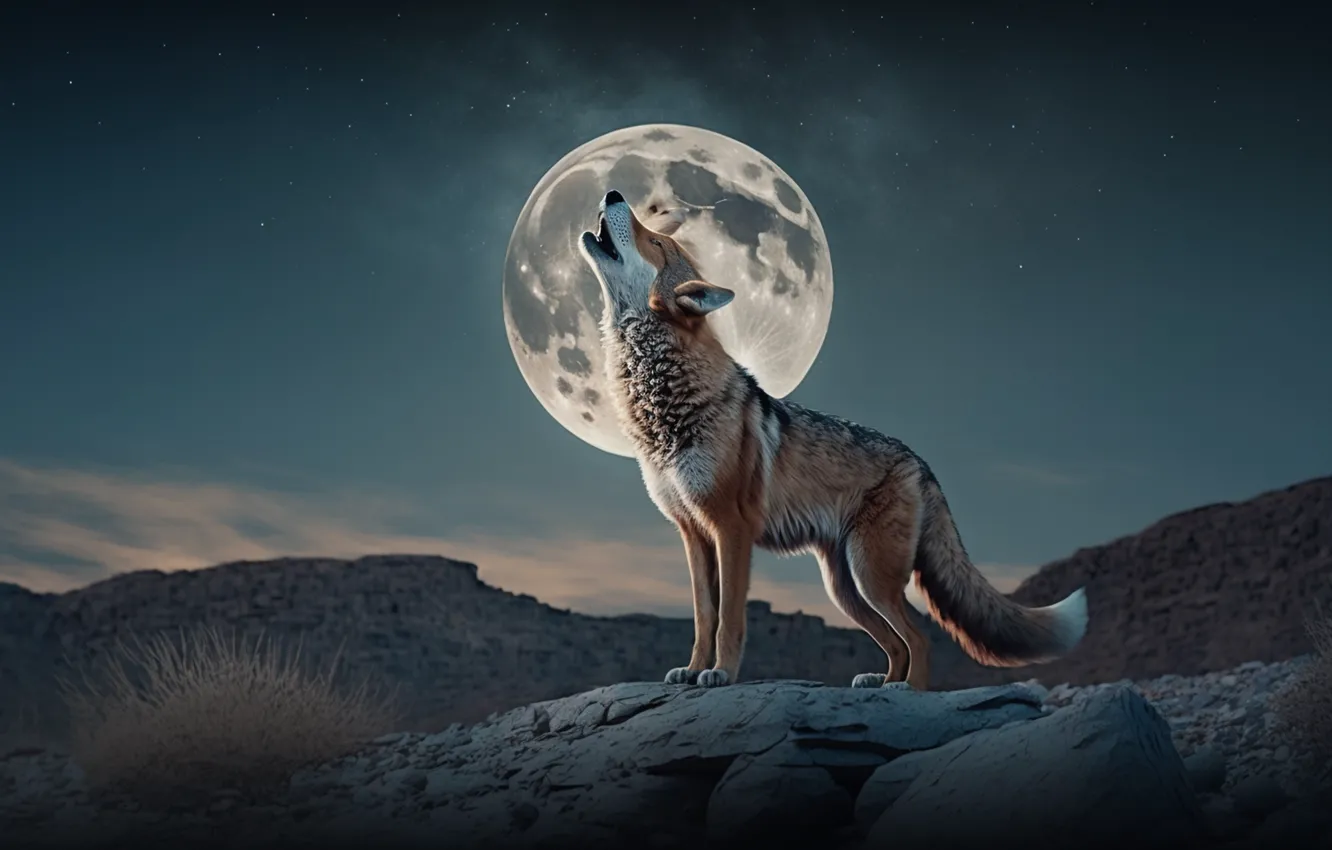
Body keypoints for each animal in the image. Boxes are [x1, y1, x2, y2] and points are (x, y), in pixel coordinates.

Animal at [576, 189, 1088, 690]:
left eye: (655, 242)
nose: (614, 192)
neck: (660, 407)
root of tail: (921, 463)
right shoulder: (692, 532)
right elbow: (705, 618)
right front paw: (692, 670)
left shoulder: (731, 528)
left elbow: (730, 622)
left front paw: (721, 674)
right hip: (844, 587)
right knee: (897, 642)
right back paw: (881, 681)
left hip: (871, 575)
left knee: (920, 638)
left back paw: (906, 691)